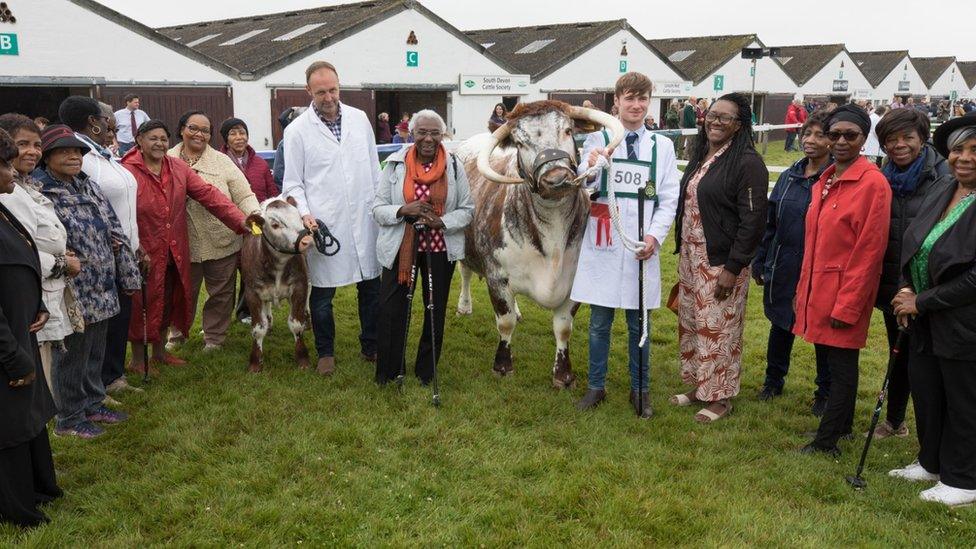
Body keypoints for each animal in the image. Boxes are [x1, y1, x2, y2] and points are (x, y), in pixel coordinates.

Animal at [241, 197, 312, 372]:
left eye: (299, 218)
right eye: (274, 225)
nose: (307, 240)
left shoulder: (299, 285)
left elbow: (296, 324)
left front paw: (302, 358)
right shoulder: (252, 292)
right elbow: (258, 329)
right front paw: (255, 362)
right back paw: (269, 322)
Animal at [454, 100, 620, 388]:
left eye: (568, 130)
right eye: (520, 143)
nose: (556, 179)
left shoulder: (574, 281)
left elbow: (563, 327)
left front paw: (563, 375)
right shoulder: (496, 276)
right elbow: (505, 322)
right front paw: (503, 366)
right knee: (465, 272)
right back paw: (464, 306)